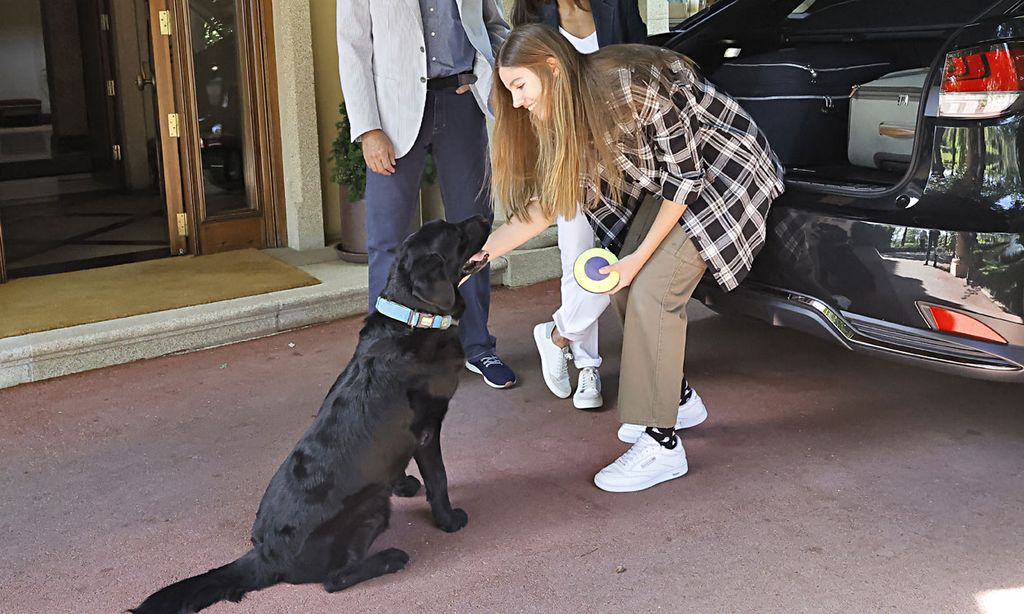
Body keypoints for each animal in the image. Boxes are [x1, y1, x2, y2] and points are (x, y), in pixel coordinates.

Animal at [130, 216, 489, 614]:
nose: (485, 216)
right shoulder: (427, 430)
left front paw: (403, 483)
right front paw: (449, 520)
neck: (413, 319)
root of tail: (266, 555)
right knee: (334, 580)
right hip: (371, 508)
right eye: (456, 234)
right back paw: (390, 558)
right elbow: (439, 479)